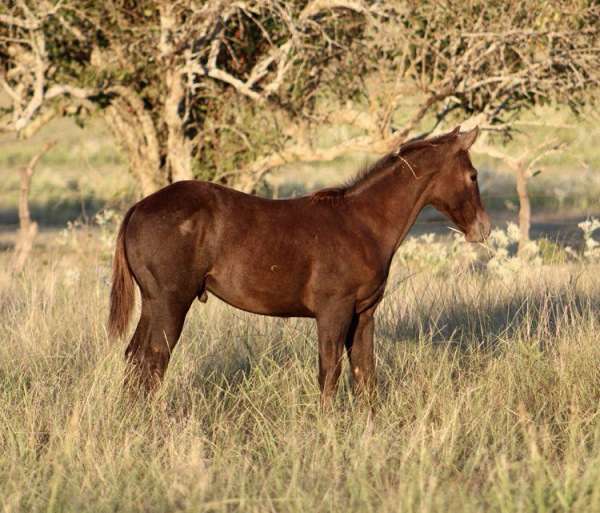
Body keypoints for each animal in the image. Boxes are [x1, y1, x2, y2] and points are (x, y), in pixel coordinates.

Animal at [110, 126, 490, 406]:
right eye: (473, 175)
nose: (483, 230)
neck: (363, 224)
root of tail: (138, 209)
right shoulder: (333, 311)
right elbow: (329, 373)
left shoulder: (364, 314)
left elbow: (365, 374)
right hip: (170, 303)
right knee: (152, 360)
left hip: (154, 304)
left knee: (135, 359)